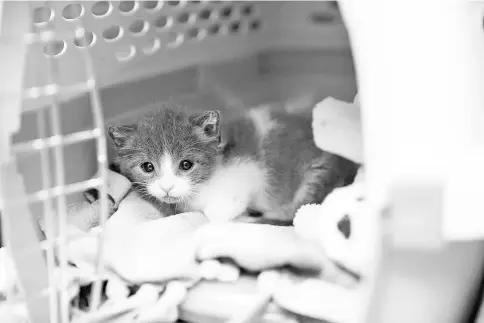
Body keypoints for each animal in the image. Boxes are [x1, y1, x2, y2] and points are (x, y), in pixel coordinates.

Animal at [109, 105, 360, 224]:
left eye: (186, 164)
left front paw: (238, 215)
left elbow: (217, 212)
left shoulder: (249, 172)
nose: (167, 187)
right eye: (148, 167)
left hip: (314, 180)